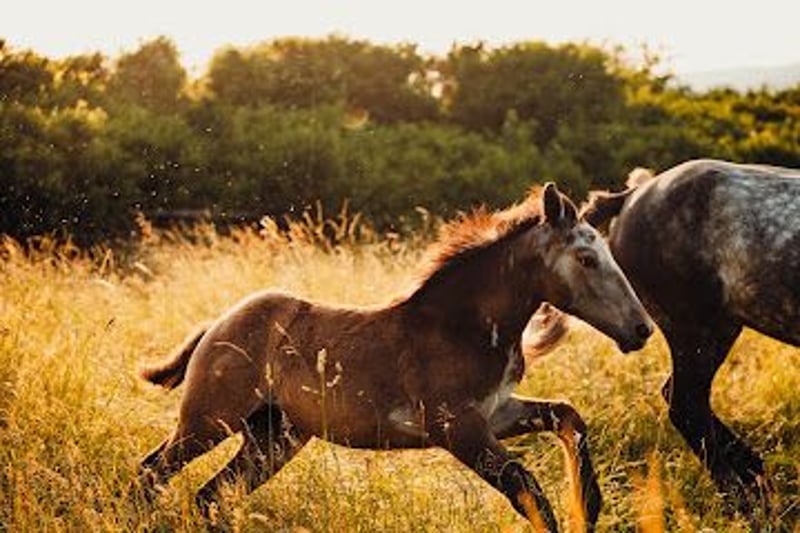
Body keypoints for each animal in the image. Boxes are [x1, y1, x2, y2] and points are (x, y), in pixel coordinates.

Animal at [137, 183, 653, 531]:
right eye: (586, 259)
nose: (641, 329)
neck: (459, 327)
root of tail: (217, 325)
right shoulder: (457, 427)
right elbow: (527, 487)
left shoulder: (498, 412)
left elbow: (567, 417)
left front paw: (590, 506)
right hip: (208, 422)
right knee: (153, 473)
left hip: (271, 439)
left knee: (208, 495)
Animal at [574, 159, 800, 510]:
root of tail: (632, 196)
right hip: (696, 330)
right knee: (686, 406)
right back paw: (743, 499)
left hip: (713, 331)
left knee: (684, 401)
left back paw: (755, 481)